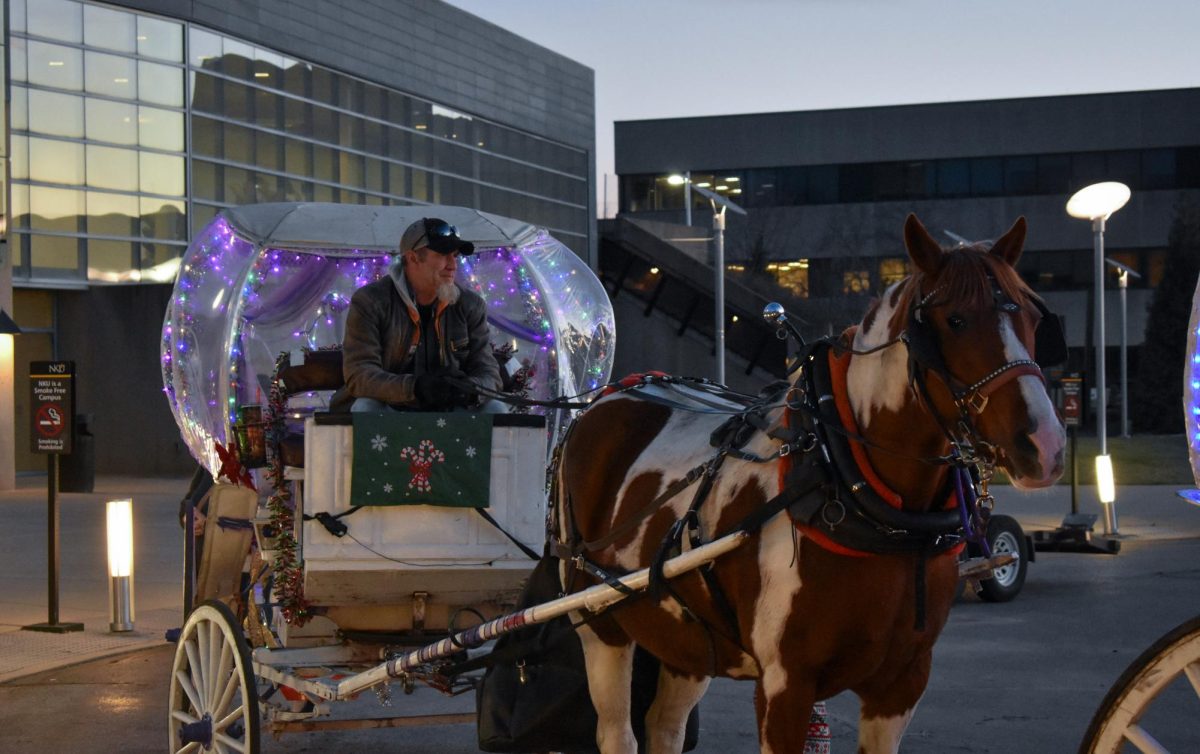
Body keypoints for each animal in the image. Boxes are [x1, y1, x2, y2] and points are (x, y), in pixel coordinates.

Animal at [549, 213, 1065, 754]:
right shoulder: (786, 684)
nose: (1045, 444)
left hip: (686, 636)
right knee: (617, 731)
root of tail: (610, 395)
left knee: (664, 725)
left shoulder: (901, 683)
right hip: (599, 622)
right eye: (955, 321)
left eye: (1035, 319)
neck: (843, 479)